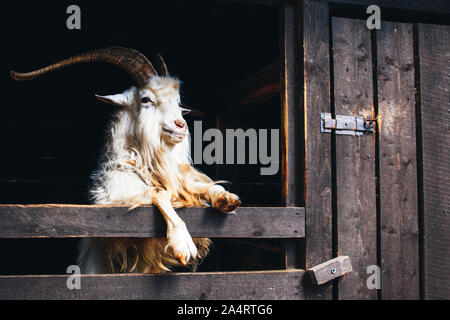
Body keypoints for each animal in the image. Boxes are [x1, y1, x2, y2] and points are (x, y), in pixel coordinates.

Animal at [10, 47, 241, 272]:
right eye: (146, 99)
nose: (181, 125)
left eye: (178, 102)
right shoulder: (112, 201)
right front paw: (183, 243)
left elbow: (202, 187)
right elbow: (160, 193)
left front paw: (227, 199)